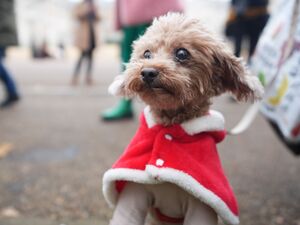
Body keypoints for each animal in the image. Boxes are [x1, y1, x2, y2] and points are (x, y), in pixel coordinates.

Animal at [102, 12, 262, 225]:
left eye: (182, 53)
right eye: (146, 54)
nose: (147, 72)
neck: (171, 122)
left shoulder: (201, 206)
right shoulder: (134, 194)